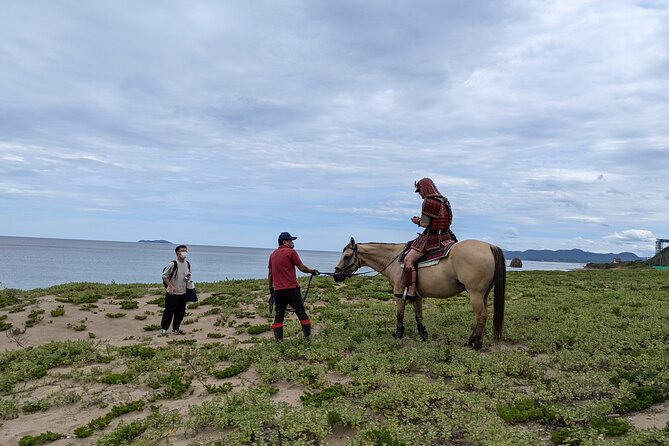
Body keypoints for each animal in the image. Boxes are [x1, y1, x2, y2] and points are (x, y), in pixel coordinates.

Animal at [334, 239, 506, 350]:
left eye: (347, 256)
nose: (336, 275)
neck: (394, 259)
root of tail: (489, 246)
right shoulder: (416, 296)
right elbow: (419, 317)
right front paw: (423, 336)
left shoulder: (399, 294)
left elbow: (400, 315)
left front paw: (398, 336)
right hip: (483, 294)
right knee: (481, 316)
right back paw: (471, 341)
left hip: (475, 294)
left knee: (481, 316)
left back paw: (476, 345)